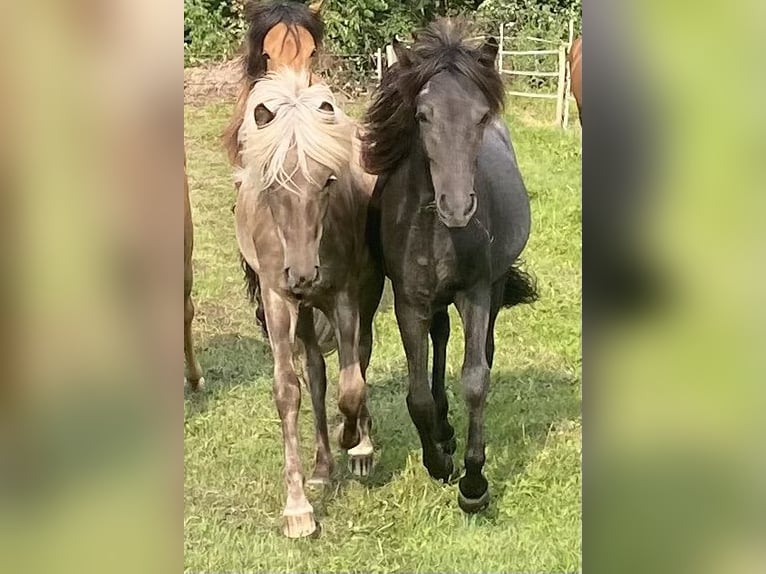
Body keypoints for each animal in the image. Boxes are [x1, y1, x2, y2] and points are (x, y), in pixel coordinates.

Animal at [366, 19, 540, 512]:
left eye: (480, 116)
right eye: (423, 115)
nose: (458, 206)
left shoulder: (476, 292)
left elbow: (476, 380)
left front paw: (474, 484)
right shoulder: (409, 302)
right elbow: (418, 395)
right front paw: (439, 463)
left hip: (493, 288)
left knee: (482, 350)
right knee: (440, 339)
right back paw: (443, 432)